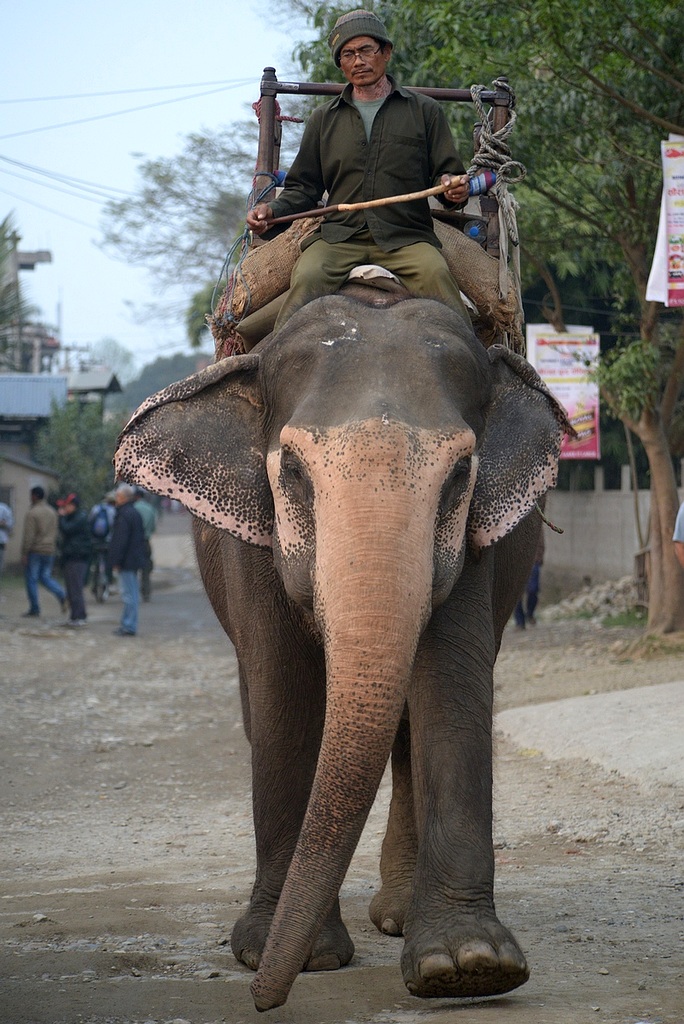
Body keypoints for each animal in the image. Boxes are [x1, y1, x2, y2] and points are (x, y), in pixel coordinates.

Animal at [114, 288, 569, 1007]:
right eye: (294, 472)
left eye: (460, 474)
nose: (261, 999)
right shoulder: (252, 539)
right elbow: (283, 690)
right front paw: (293, 955)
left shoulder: (476, 545)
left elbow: (452, 684)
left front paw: (468, 965)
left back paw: (398, 917)